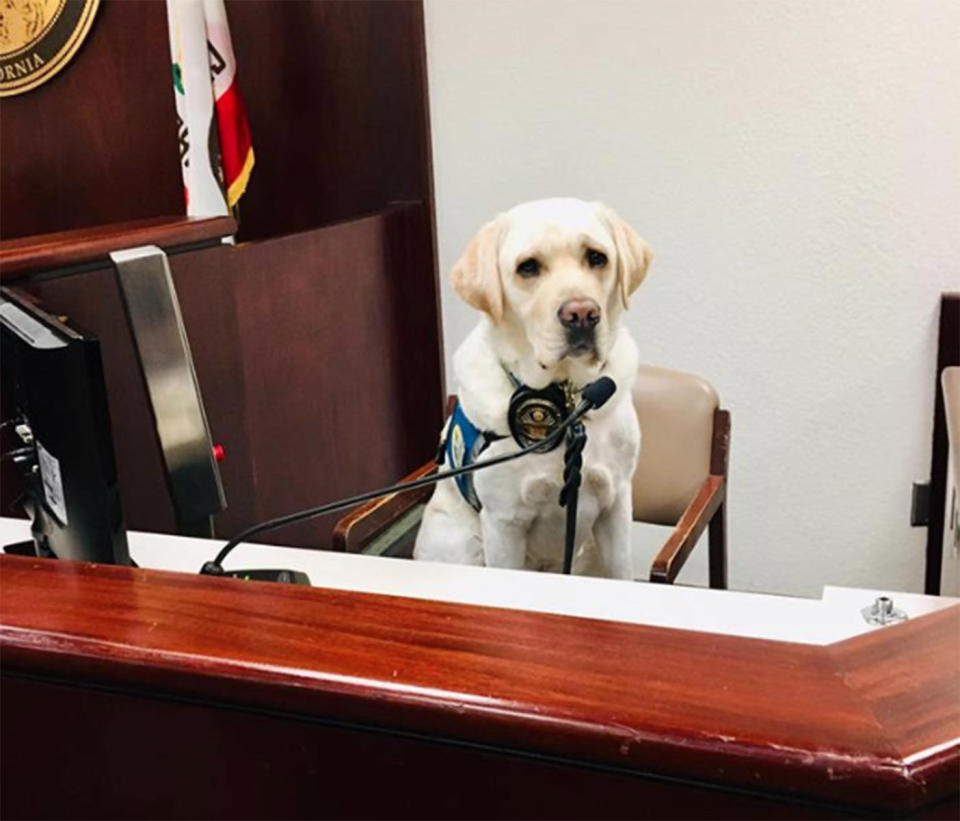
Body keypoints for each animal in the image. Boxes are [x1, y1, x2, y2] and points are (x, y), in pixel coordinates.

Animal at [412, 198, 652, 576]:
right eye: (527, 267)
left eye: (597, 257)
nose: (582, 314)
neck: (569, 404)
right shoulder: (504, 524)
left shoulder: (616, 506)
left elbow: (623, 572)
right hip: (462, 544)